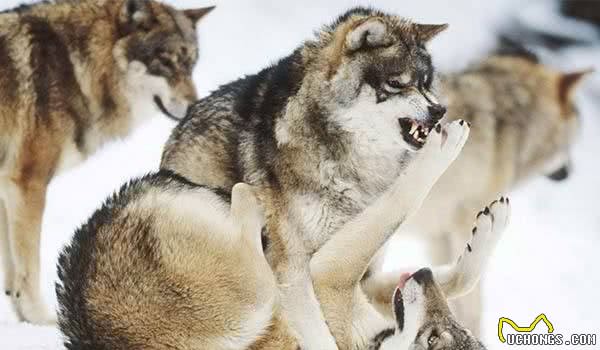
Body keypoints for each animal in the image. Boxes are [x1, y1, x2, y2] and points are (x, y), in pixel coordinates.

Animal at [0, 0, 214, 322]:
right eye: (164, 62)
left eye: (191, 64)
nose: (195, 106)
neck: (76, 65)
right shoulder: (27, 184)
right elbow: (28, 269)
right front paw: (40, 321)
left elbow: (11, 272)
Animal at [162, 8, 452, 348]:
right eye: (397, 83)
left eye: (426, 83)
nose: (439, 110)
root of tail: (179, 128)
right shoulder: (293, 270)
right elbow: (321, 334)